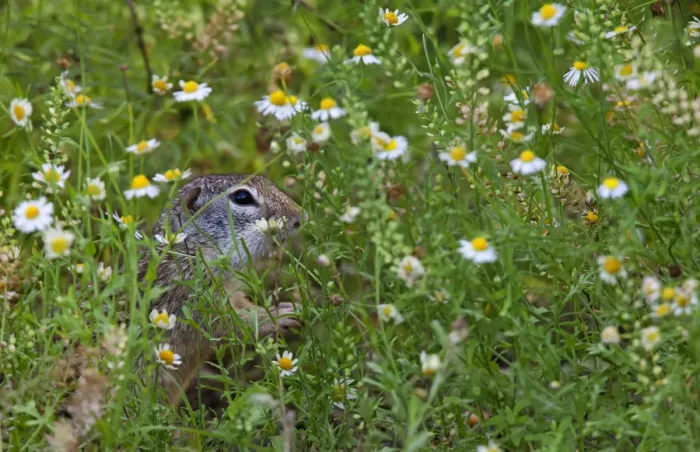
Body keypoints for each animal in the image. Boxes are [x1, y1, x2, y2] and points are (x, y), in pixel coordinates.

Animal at [137, 174, 304, 406]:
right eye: (242, 197)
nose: (300, 215)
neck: (190, 251)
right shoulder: (192, 301)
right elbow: (233, 323)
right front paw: (279, 316)